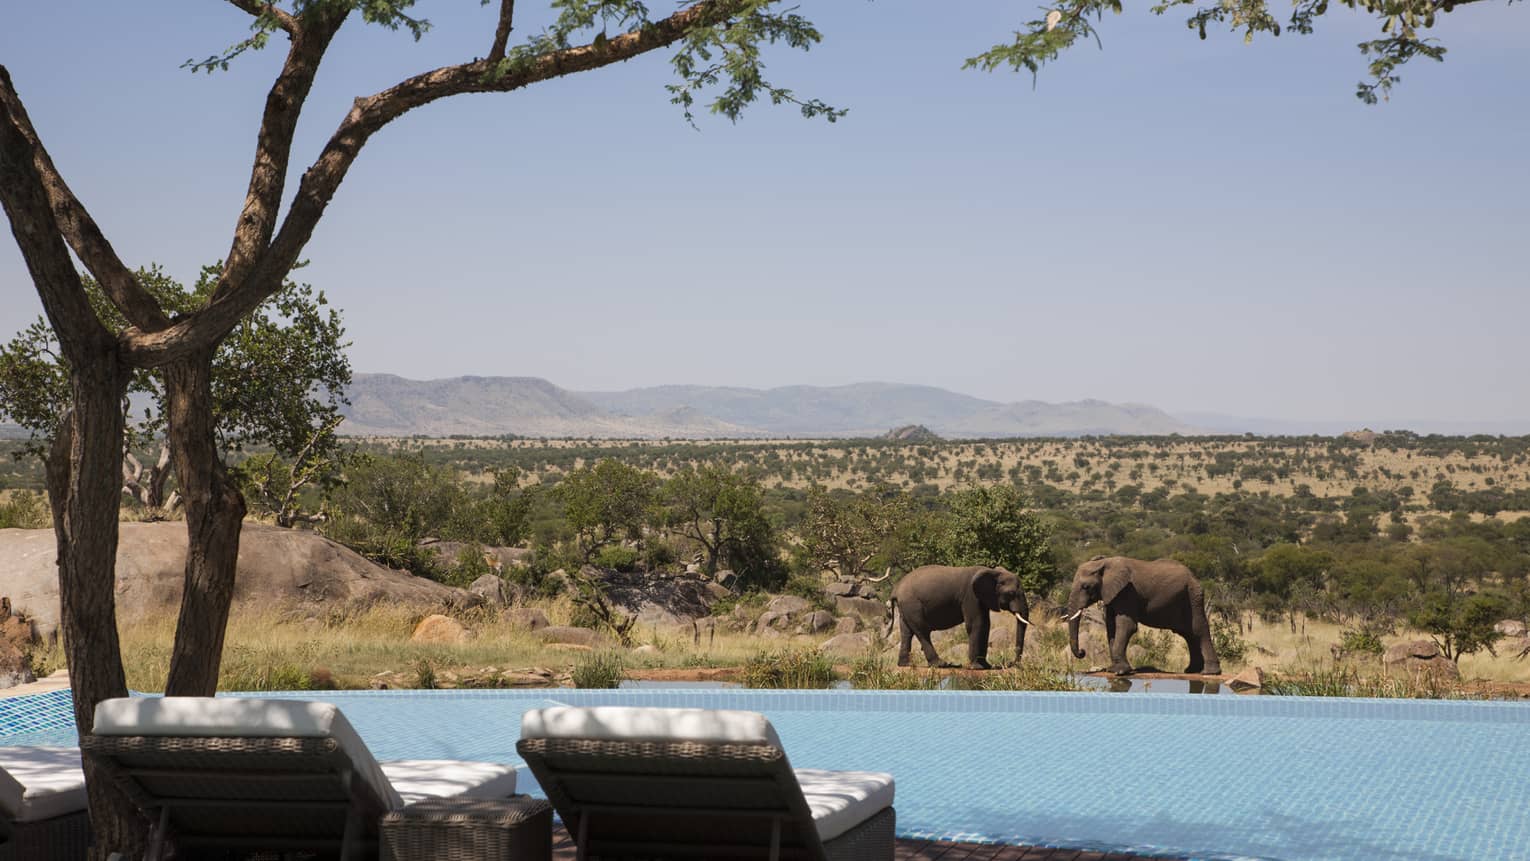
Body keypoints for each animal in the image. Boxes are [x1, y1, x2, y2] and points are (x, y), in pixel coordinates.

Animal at [887, 565, 1032, 669]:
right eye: (1011, 593)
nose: (1012, 663)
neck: (993, 572)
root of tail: (896, 589)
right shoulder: (971, 596)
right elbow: (977, 624)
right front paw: (977, 667)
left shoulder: (981, 598)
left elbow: (985, 625)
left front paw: (986, 666)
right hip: (912, 604)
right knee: (922, 631)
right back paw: (941, 664)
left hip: (906, 607)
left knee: (906, 632)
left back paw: (905, 665)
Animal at [1065, 555, 1221, 676]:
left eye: (1086, 587)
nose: (1082, 652)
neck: (1105, 563)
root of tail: (1194, 576)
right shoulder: (1112, 594)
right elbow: (1111, 626)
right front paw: (1113, 669)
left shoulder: (1127, 592)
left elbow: (1126, 626)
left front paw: (1120, 672)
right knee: (1188, 634)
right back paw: (1191, 671)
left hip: (1193, 596)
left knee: (1198, 630)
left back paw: (1209, 672)